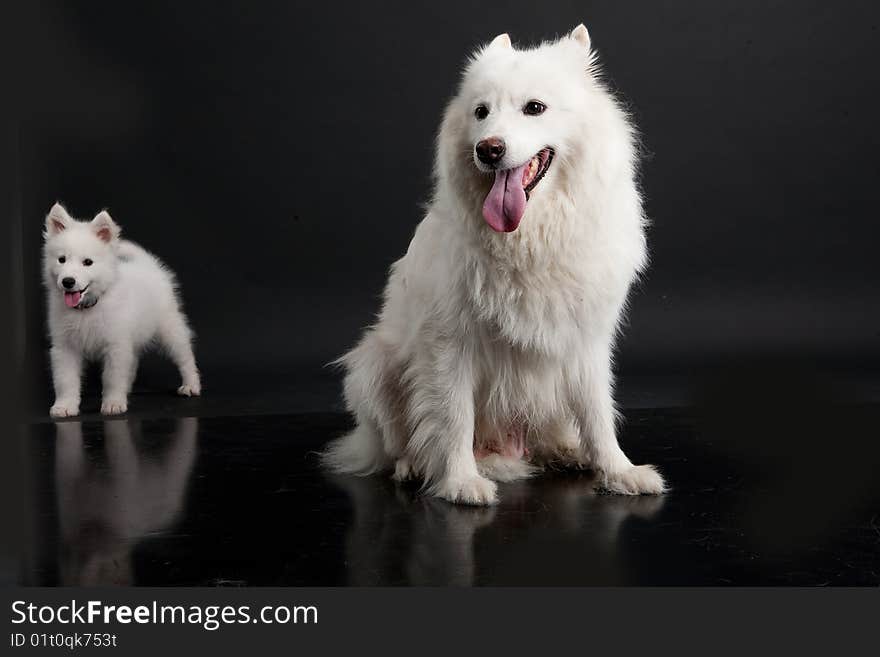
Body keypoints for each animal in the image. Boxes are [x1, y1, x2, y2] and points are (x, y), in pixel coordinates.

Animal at [43, 201, 201, 416]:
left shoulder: (116, 345)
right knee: (133, 362)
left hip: (169, 329)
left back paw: (191, 385)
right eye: (61, 260)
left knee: (185, 356)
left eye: (87, 262)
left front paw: (113, 403)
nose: (68, 282)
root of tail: (148, 265)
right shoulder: (65, 346)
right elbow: (65, 379)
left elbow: (112, 377)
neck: (88, 308)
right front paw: (65, 405)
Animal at [324, 24, 668, 502]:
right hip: (373, 366)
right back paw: (415, 467)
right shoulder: (449, 341)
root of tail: (504, 448)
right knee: (398, 444)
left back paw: (569, 453)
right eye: (481, 112)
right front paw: (460, 482)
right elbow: (453, 417)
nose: (488, 149)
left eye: (534, 108)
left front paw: (619, 471)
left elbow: (598, 413)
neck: (531, 238)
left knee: (553, 435)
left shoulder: (586, 339)